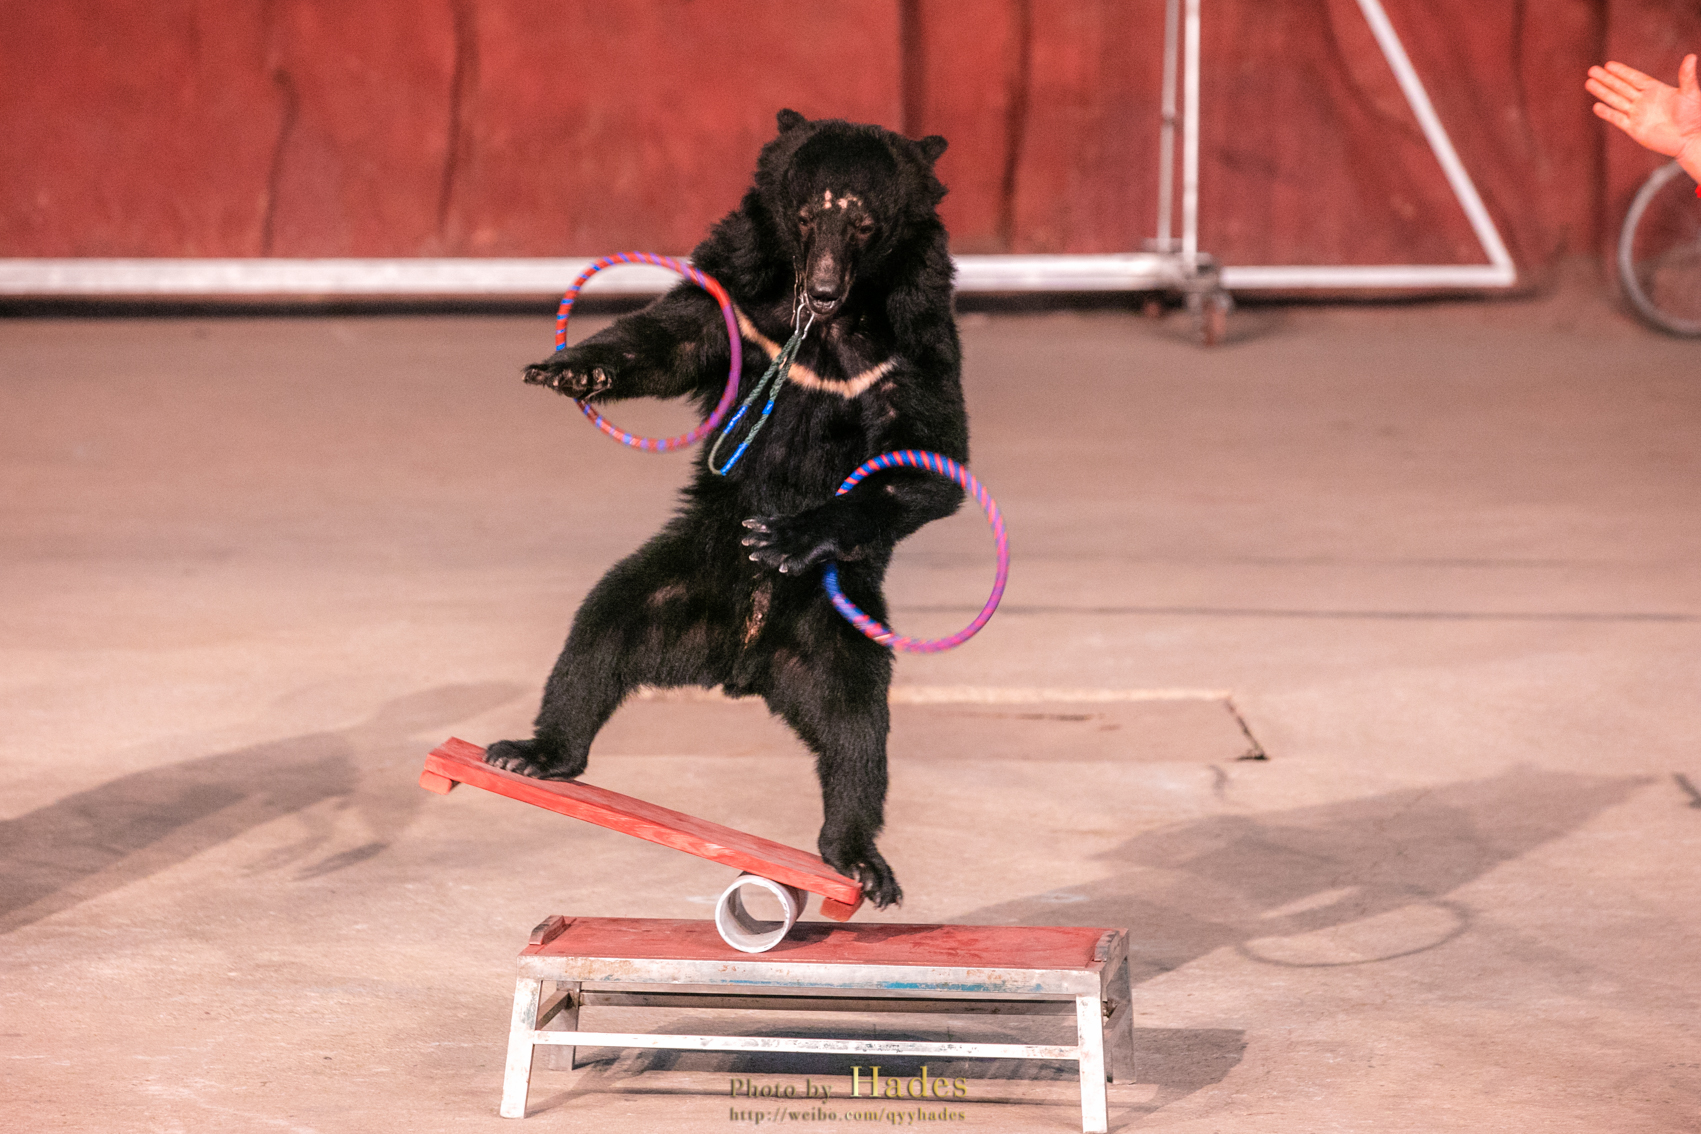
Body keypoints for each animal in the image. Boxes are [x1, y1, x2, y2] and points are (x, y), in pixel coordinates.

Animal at [493, 110, 972, 911]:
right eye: (807, 215)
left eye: (865, 224)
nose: (825, 286)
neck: (823, 326)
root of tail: (744, 661)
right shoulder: (742, 296)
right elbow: (675, 335)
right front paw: (566, 369)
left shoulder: (916, 335)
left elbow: (933, 457)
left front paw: (790, 534)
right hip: (672, 581)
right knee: (595, 638)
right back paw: (532, 752)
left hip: (840, 628)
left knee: (858, 734)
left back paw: (859, 859)